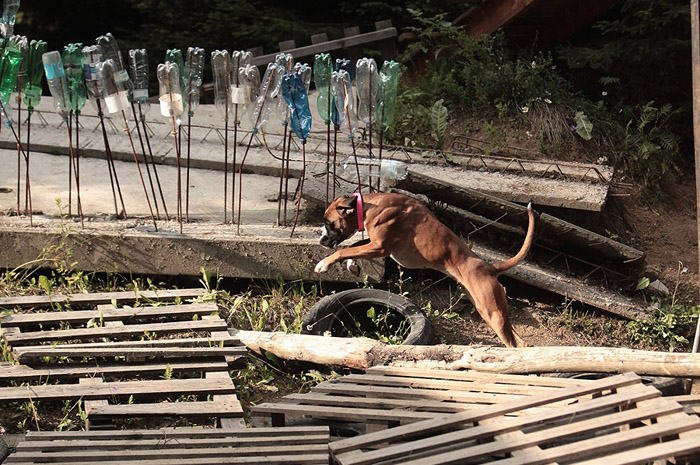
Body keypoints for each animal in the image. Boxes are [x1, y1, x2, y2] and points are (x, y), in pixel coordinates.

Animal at [316, 190, 536, 346]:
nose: (320, 239)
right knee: (520, 342)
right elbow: (353, 246)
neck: (369, 205)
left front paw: (324, 264)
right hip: (488, 310)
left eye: (328, 223)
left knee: (515, 344)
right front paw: (352, 265)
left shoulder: (379, 247)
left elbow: (345, 250)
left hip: (493, 313)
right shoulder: (375, 245)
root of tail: (489, 266)